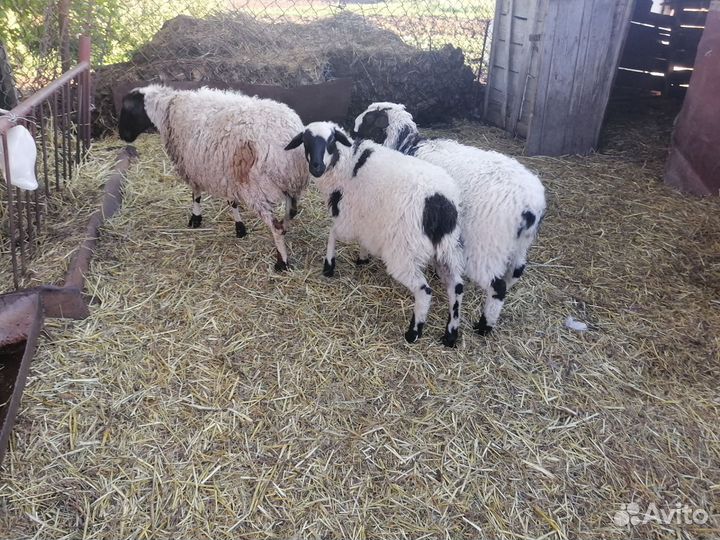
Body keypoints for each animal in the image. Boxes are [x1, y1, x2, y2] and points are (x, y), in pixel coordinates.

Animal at [118, 85, 308, 271]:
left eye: (127, 111)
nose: (122, 136)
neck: (167, 109)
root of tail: (289, 137)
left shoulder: (191, 166)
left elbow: (195, 195)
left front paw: (195, 218)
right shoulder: (226, 173)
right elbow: (232, 201)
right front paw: (239, 228)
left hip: (257, 188)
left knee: (276, 227)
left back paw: (282, 262)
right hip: (288, 185)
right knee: (290, 213)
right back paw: (285, 232)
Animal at [285, 121, 465, 347]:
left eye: (331, 141)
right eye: (306, 141)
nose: (316, 167)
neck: (347, 162)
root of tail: (440, 204)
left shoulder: (347, 214)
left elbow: (332, 233)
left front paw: (329, 265)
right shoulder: (366, 216)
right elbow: (362, 238)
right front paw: (362, 257)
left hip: (405, 251)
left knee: (424, 291)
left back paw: (414, 332)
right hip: (447, 249)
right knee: (456, 287)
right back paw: (450, 334)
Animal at [354, 102, 546, 335]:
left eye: (367, 123)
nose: (353, 138)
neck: (408, 147)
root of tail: (530, 206)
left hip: (487, 245)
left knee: (497, 285)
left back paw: (484, 326)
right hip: (519, 246)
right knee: (515, 273)